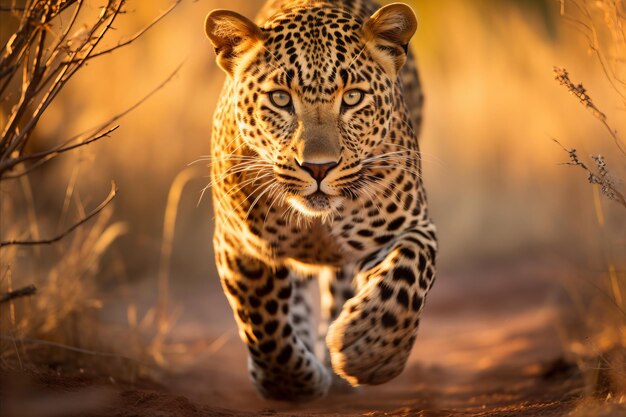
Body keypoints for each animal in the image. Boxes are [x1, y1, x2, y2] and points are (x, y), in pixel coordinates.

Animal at [204, 0, 434, 402]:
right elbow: (261, 319)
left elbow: (407, 273)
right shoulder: (239, 244)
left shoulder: (410, 226)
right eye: (280, 98)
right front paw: (290, 384)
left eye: (353, 97)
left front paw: (370, 350)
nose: (318, 167)